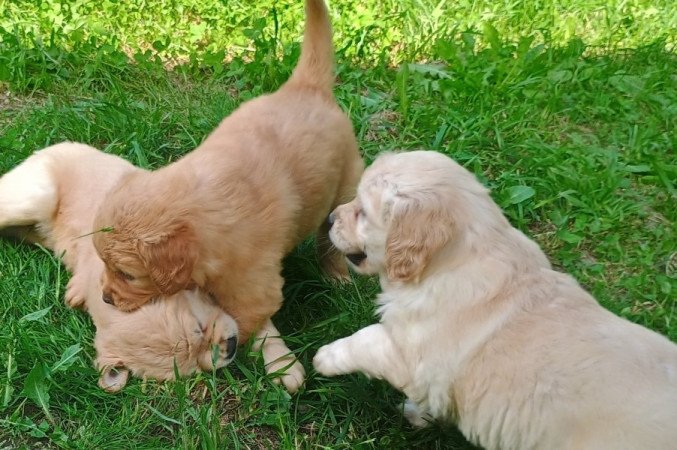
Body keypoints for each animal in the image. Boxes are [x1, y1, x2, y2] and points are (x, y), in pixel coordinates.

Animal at [93, 0, 364, 392]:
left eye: (127, 274)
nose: (105, 297)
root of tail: (305, 86)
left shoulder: (254, 287)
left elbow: (245, 322)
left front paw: (248, 360)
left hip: (346, 183)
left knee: (329, 238)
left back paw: (336, 274)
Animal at [312, 152, 676, 450]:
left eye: (362, 211)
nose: (329, 219)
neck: (456, 259)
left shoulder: (418, 359)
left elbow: (367, 339)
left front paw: (325, 357)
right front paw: (419, 415)